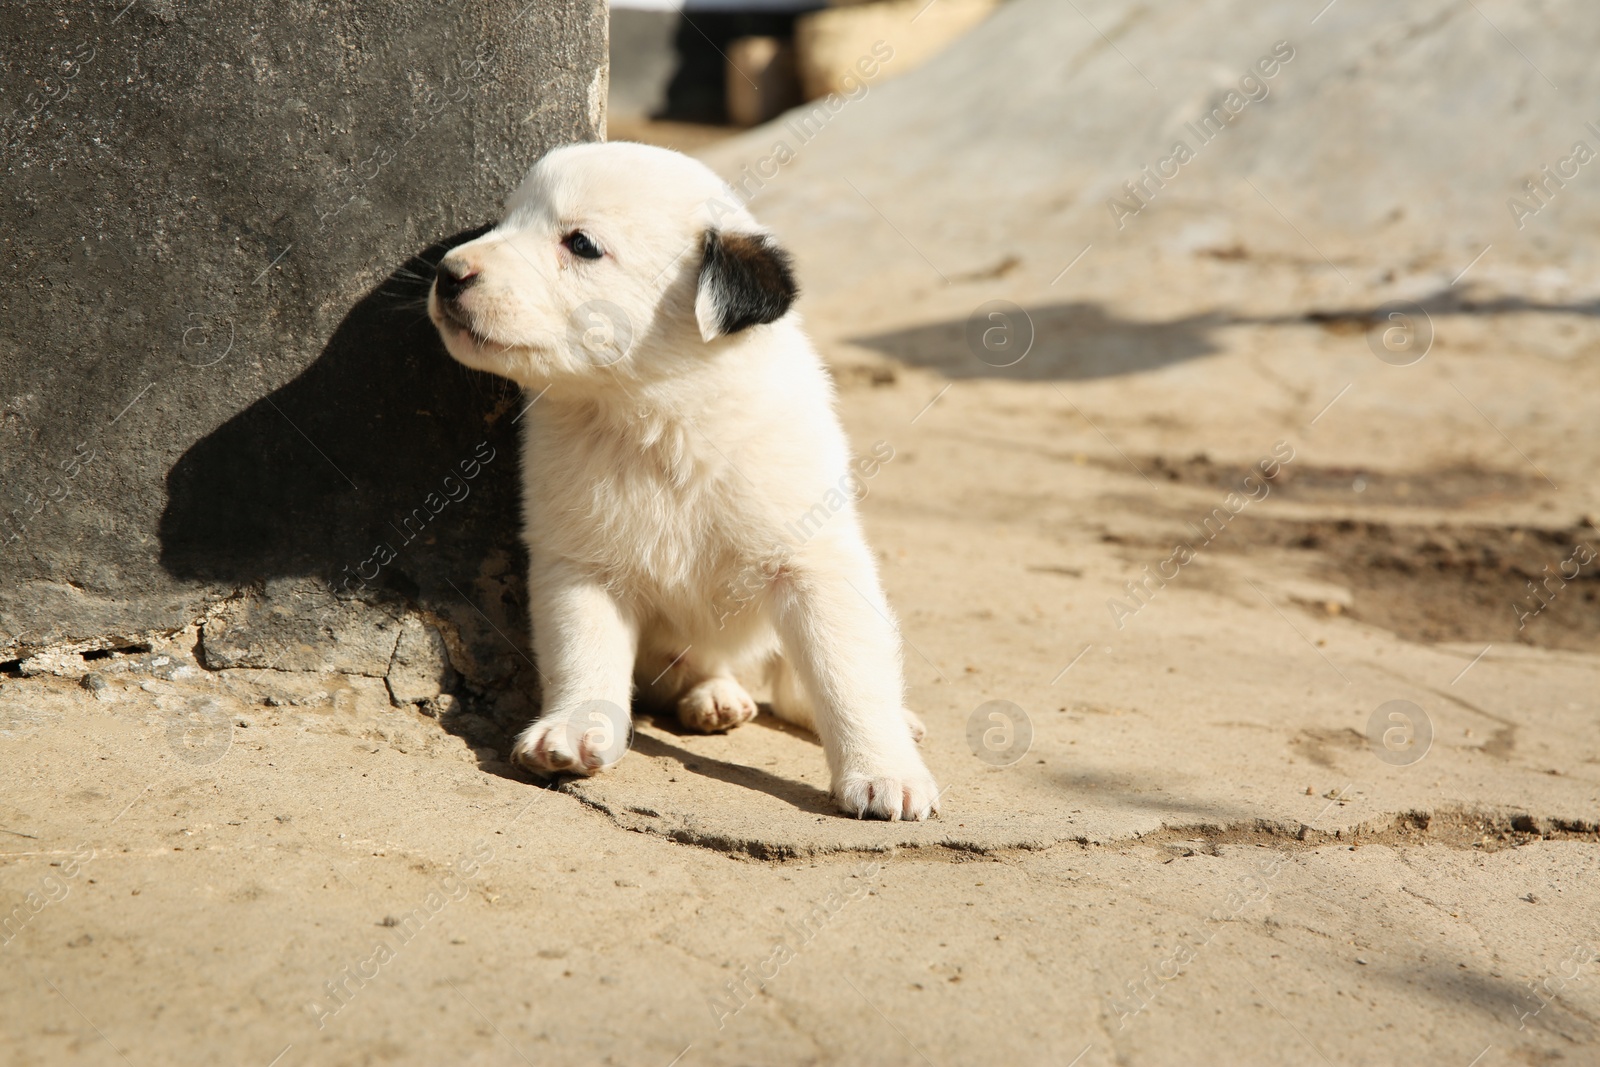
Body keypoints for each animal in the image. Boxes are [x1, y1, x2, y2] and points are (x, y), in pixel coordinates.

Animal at [425, 141, 934, 825]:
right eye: (506, 220)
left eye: (581, 244)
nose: (448, 273)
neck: (659, 419)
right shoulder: (580, 564)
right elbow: (584, 652)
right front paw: (573, 729)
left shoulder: (814, 562)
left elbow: (847, 672)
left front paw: (885, 771)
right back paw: (712, 696)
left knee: (797, 689)